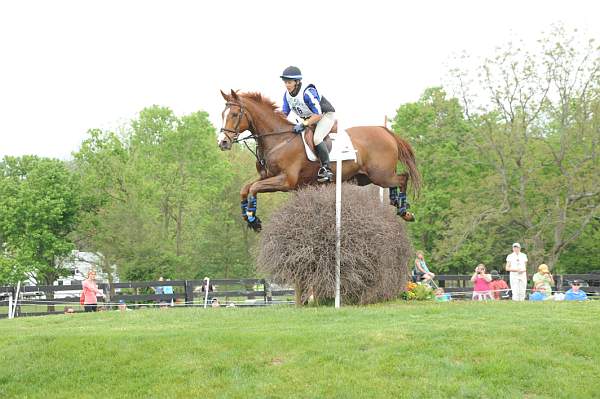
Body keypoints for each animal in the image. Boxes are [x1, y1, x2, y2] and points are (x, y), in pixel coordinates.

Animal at [218, 88, 420, 231]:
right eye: (222, 115)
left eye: (234, 115)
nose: (222, 142)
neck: (279, 139)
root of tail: (385, 130)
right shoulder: (267, 176)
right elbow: (245, 189)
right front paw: (249, 216)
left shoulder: (286, 181)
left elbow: (253, 188)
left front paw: (253, 218)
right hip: (366, 178)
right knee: (396, 181)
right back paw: (396, 202)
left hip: (380, 175)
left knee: (402, 178)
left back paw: (404, 210)